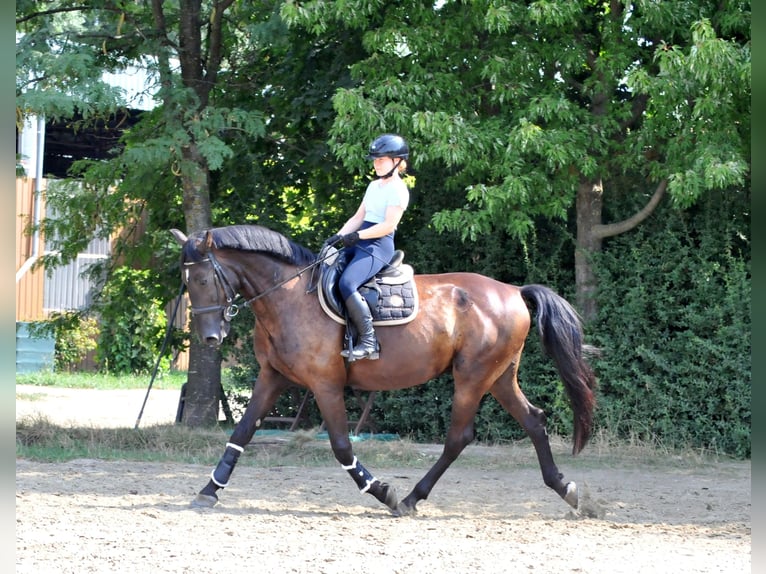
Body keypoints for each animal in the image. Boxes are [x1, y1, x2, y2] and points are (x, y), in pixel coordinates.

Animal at [172, 225, 600, 516]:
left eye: (206, 278)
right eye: (186, 281)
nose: (210, 337)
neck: (288, 296)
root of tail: (513, 291)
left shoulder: (326, 384)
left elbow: (341, 446)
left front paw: (382, 491)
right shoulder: (272, 377)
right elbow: (241, 433)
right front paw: (209, 490)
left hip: (473, 377)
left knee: (459, 437)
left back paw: (410, 499)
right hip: (499, 377)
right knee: (534, 421)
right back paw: (568, 491)